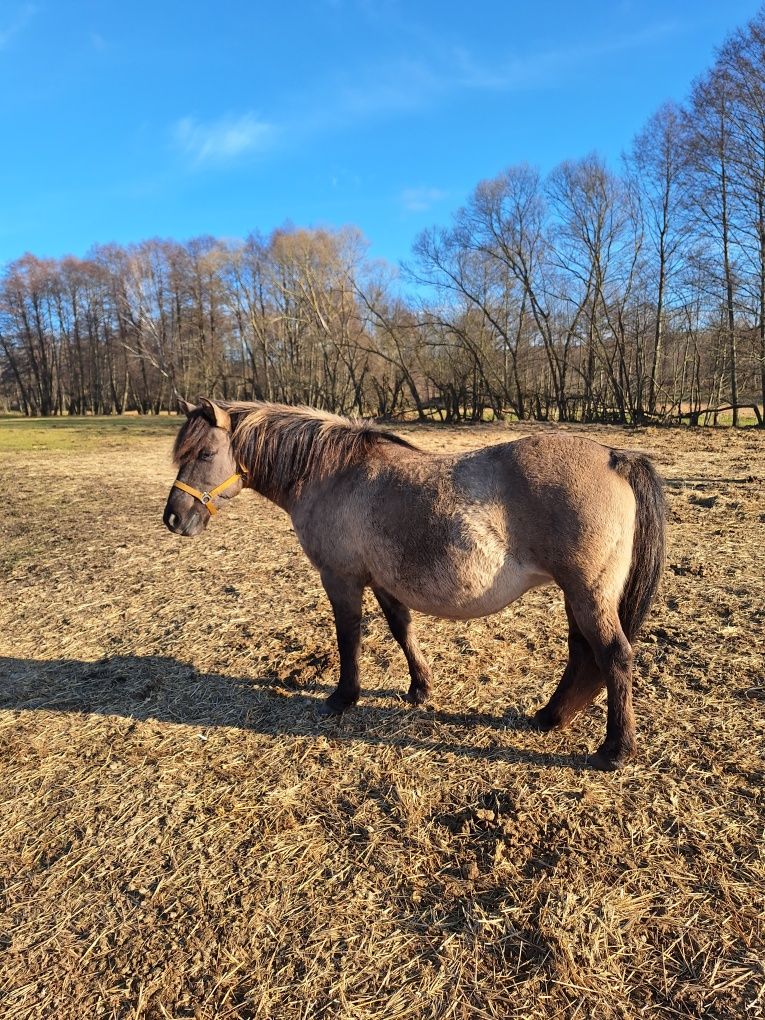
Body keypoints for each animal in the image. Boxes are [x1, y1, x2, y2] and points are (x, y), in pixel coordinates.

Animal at [165, 395, 669, 767]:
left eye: (205, 453)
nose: (173, 518)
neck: (334, 474)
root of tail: (614, 457)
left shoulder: (341, 579)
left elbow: (349, 637)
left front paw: (343, 697)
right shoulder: (383, 581)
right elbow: (401, 629)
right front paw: (420, 689)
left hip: (587, 593)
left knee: (614, 656)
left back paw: (615, 750)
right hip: (578, 595)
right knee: (582, 655)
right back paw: (549, 716)